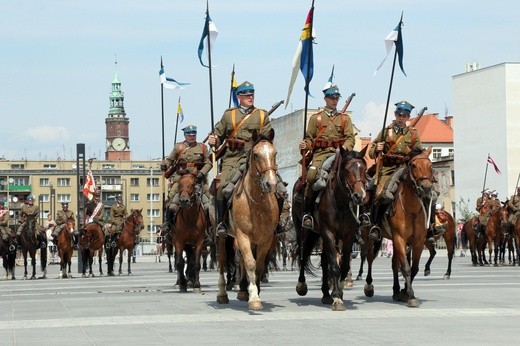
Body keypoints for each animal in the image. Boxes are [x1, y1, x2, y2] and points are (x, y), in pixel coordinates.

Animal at [216, 130, 280, 310]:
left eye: (274, 153)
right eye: (256, 155)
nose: (271, 183)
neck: (257, 202)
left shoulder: (266, 239)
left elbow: (258, 266)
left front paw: (254, 291)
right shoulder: (242, 236)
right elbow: (250, 263)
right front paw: (254, 298)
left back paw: (244, 291)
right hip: (223, 237)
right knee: (222, 261)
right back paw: (222, 294)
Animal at [292, 146, 370, 310]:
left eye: (364, 169)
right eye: (346, 169)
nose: (359, 196)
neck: (340, 203)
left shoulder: (347, 236)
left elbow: (343, 264)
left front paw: (339, 290)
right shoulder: (328, 233)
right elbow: (334, 265)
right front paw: (337, 298)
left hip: (318, 235)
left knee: (323, 260)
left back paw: (326, 294)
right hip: (303, 231)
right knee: (303, 254)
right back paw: (302, 285)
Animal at [364, 147, 436, 306]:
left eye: (431, 166)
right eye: (413, 165)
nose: (426, 188)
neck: (412, 210)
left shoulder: (418, 242)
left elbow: (414, 268)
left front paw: (404, 292)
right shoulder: (399, 238)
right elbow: (406, 268)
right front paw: (410, 295)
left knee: (393, 264)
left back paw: (396, 291)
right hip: (370, 237)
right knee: (370, 258)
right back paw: (369, 286)